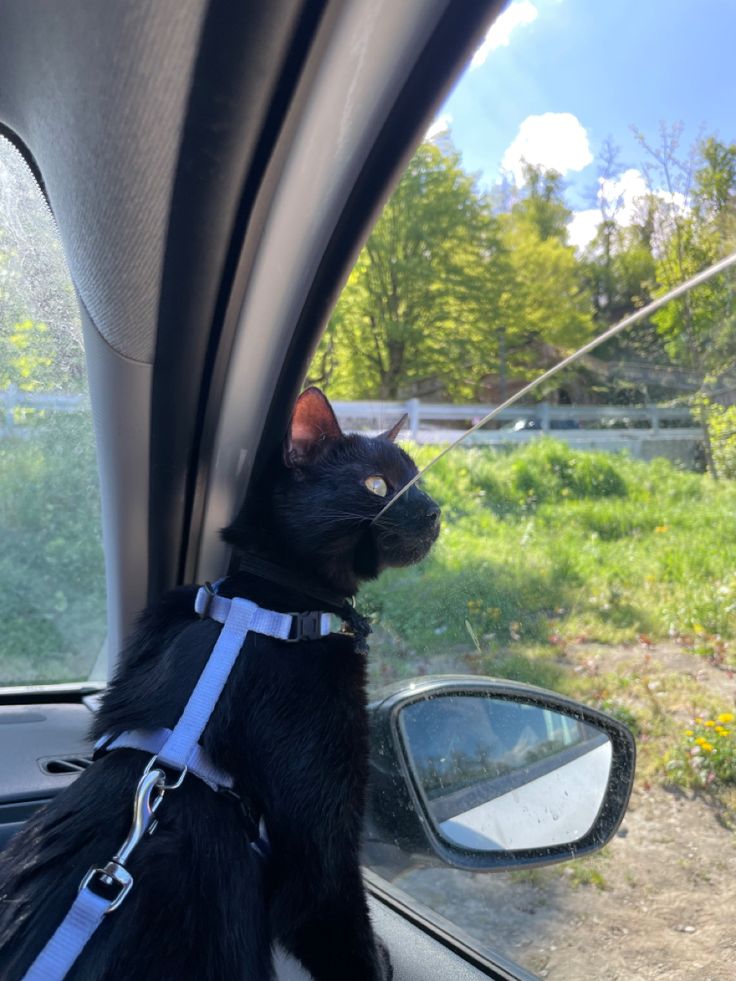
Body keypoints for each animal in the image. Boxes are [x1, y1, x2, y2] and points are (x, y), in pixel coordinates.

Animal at [0, 388, 440, 980]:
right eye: (378, 486)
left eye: (419, 480)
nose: (436, 510)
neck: (266, 602)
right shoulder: (320, 832)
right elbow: (333, 903)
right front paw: (375, 963)